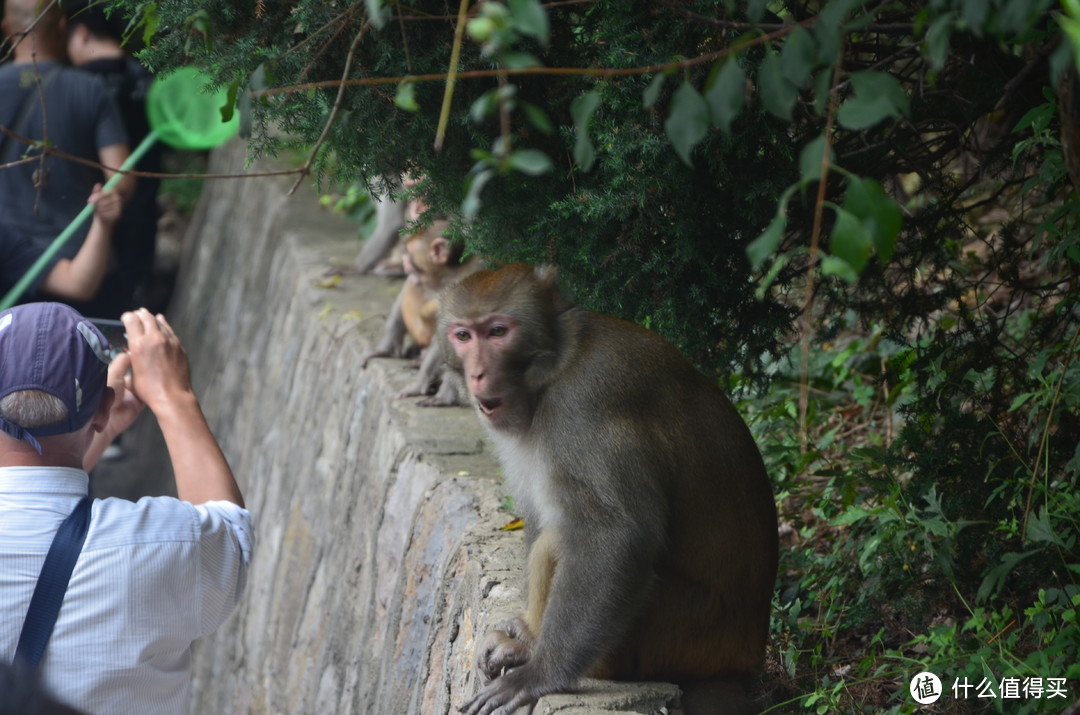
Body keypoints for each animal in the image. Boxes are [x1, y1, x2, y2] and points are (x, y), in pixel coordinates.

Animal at [438, 263, 777, 715]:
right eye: (463, 335)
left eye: (497, 332)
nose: (477, 373)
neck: (556, 367)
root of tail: (748, 652)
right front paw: (527, 632)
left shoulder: (585, 408)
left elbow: (616, 536)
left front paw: (541, 672)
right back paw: (528, 637)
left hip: (680, 633)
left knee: (565, 538)